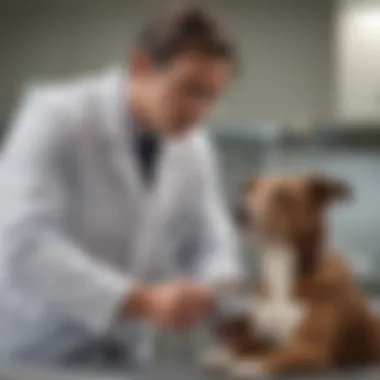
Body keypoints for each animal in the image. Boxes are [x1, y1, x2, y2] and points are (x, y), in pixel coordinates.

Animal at [200, 174, 380, 378]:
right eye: (251, 191)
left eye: (283, 196)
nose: (239, 212)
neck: (281, 265)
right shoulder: (259, 333)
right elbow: (241, 341)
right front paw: (223, 354)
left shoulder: (313, 350)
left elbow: (278, 353)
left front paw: (250, 364)